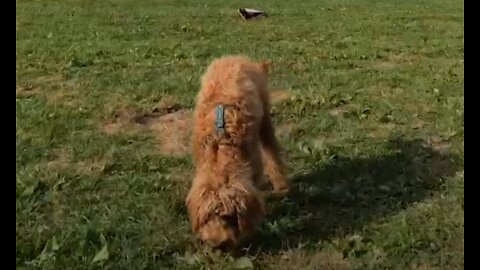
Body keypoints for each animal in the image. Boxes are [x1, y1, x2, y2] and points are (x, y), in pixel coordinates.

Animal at [185, 56, 288, 250]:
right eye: (208, 217)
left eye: (229, 216)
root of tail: (238, 57)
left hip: (265, 120)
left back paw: (282, 184)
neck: (221, 145)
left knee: (271, 149)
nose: (218, 244)